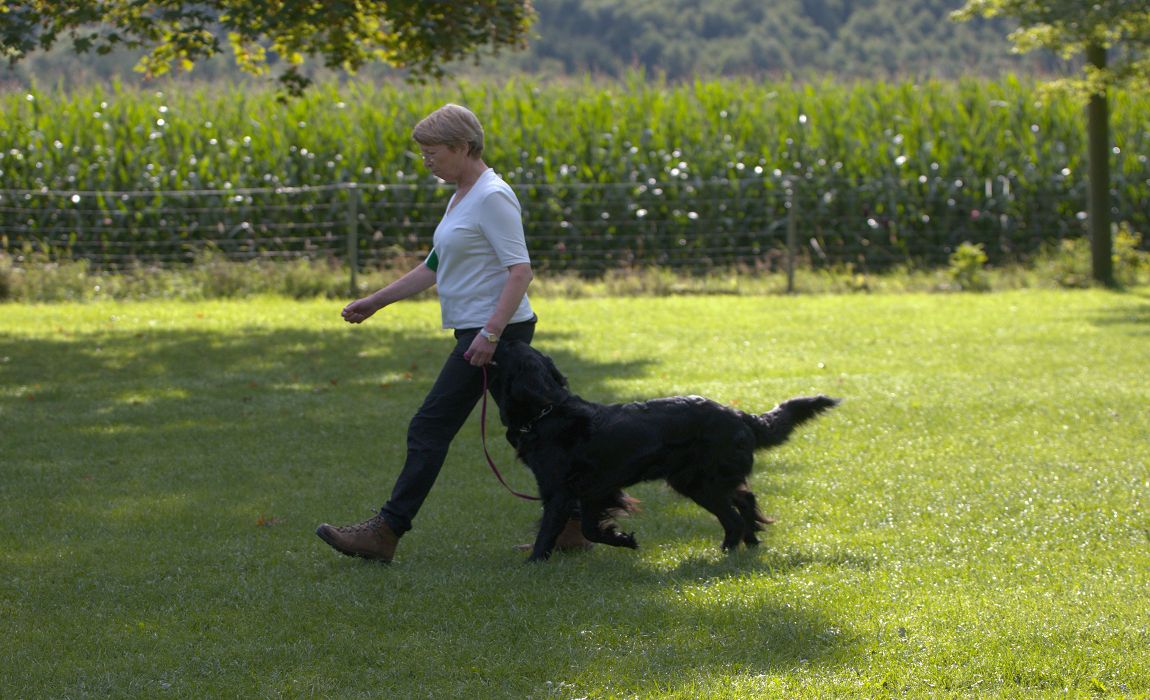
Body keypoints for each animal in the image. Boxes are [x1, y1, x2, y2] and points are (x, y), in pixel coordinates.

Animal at [485, 340, 837, 563]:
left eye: (504, 349)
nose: (494, 335)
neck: (547, 411)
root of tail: (739, 415)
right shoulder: (597, 490)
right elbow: (589, 528)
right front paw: (622, 538)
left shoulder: (560, 492)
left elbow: (551, 530)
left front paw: (533, 564)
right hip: (697, 480)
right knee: (745, 498)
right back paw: (751, 541)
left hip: (700, 483)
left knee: (734, 517)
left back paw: (725, 553)